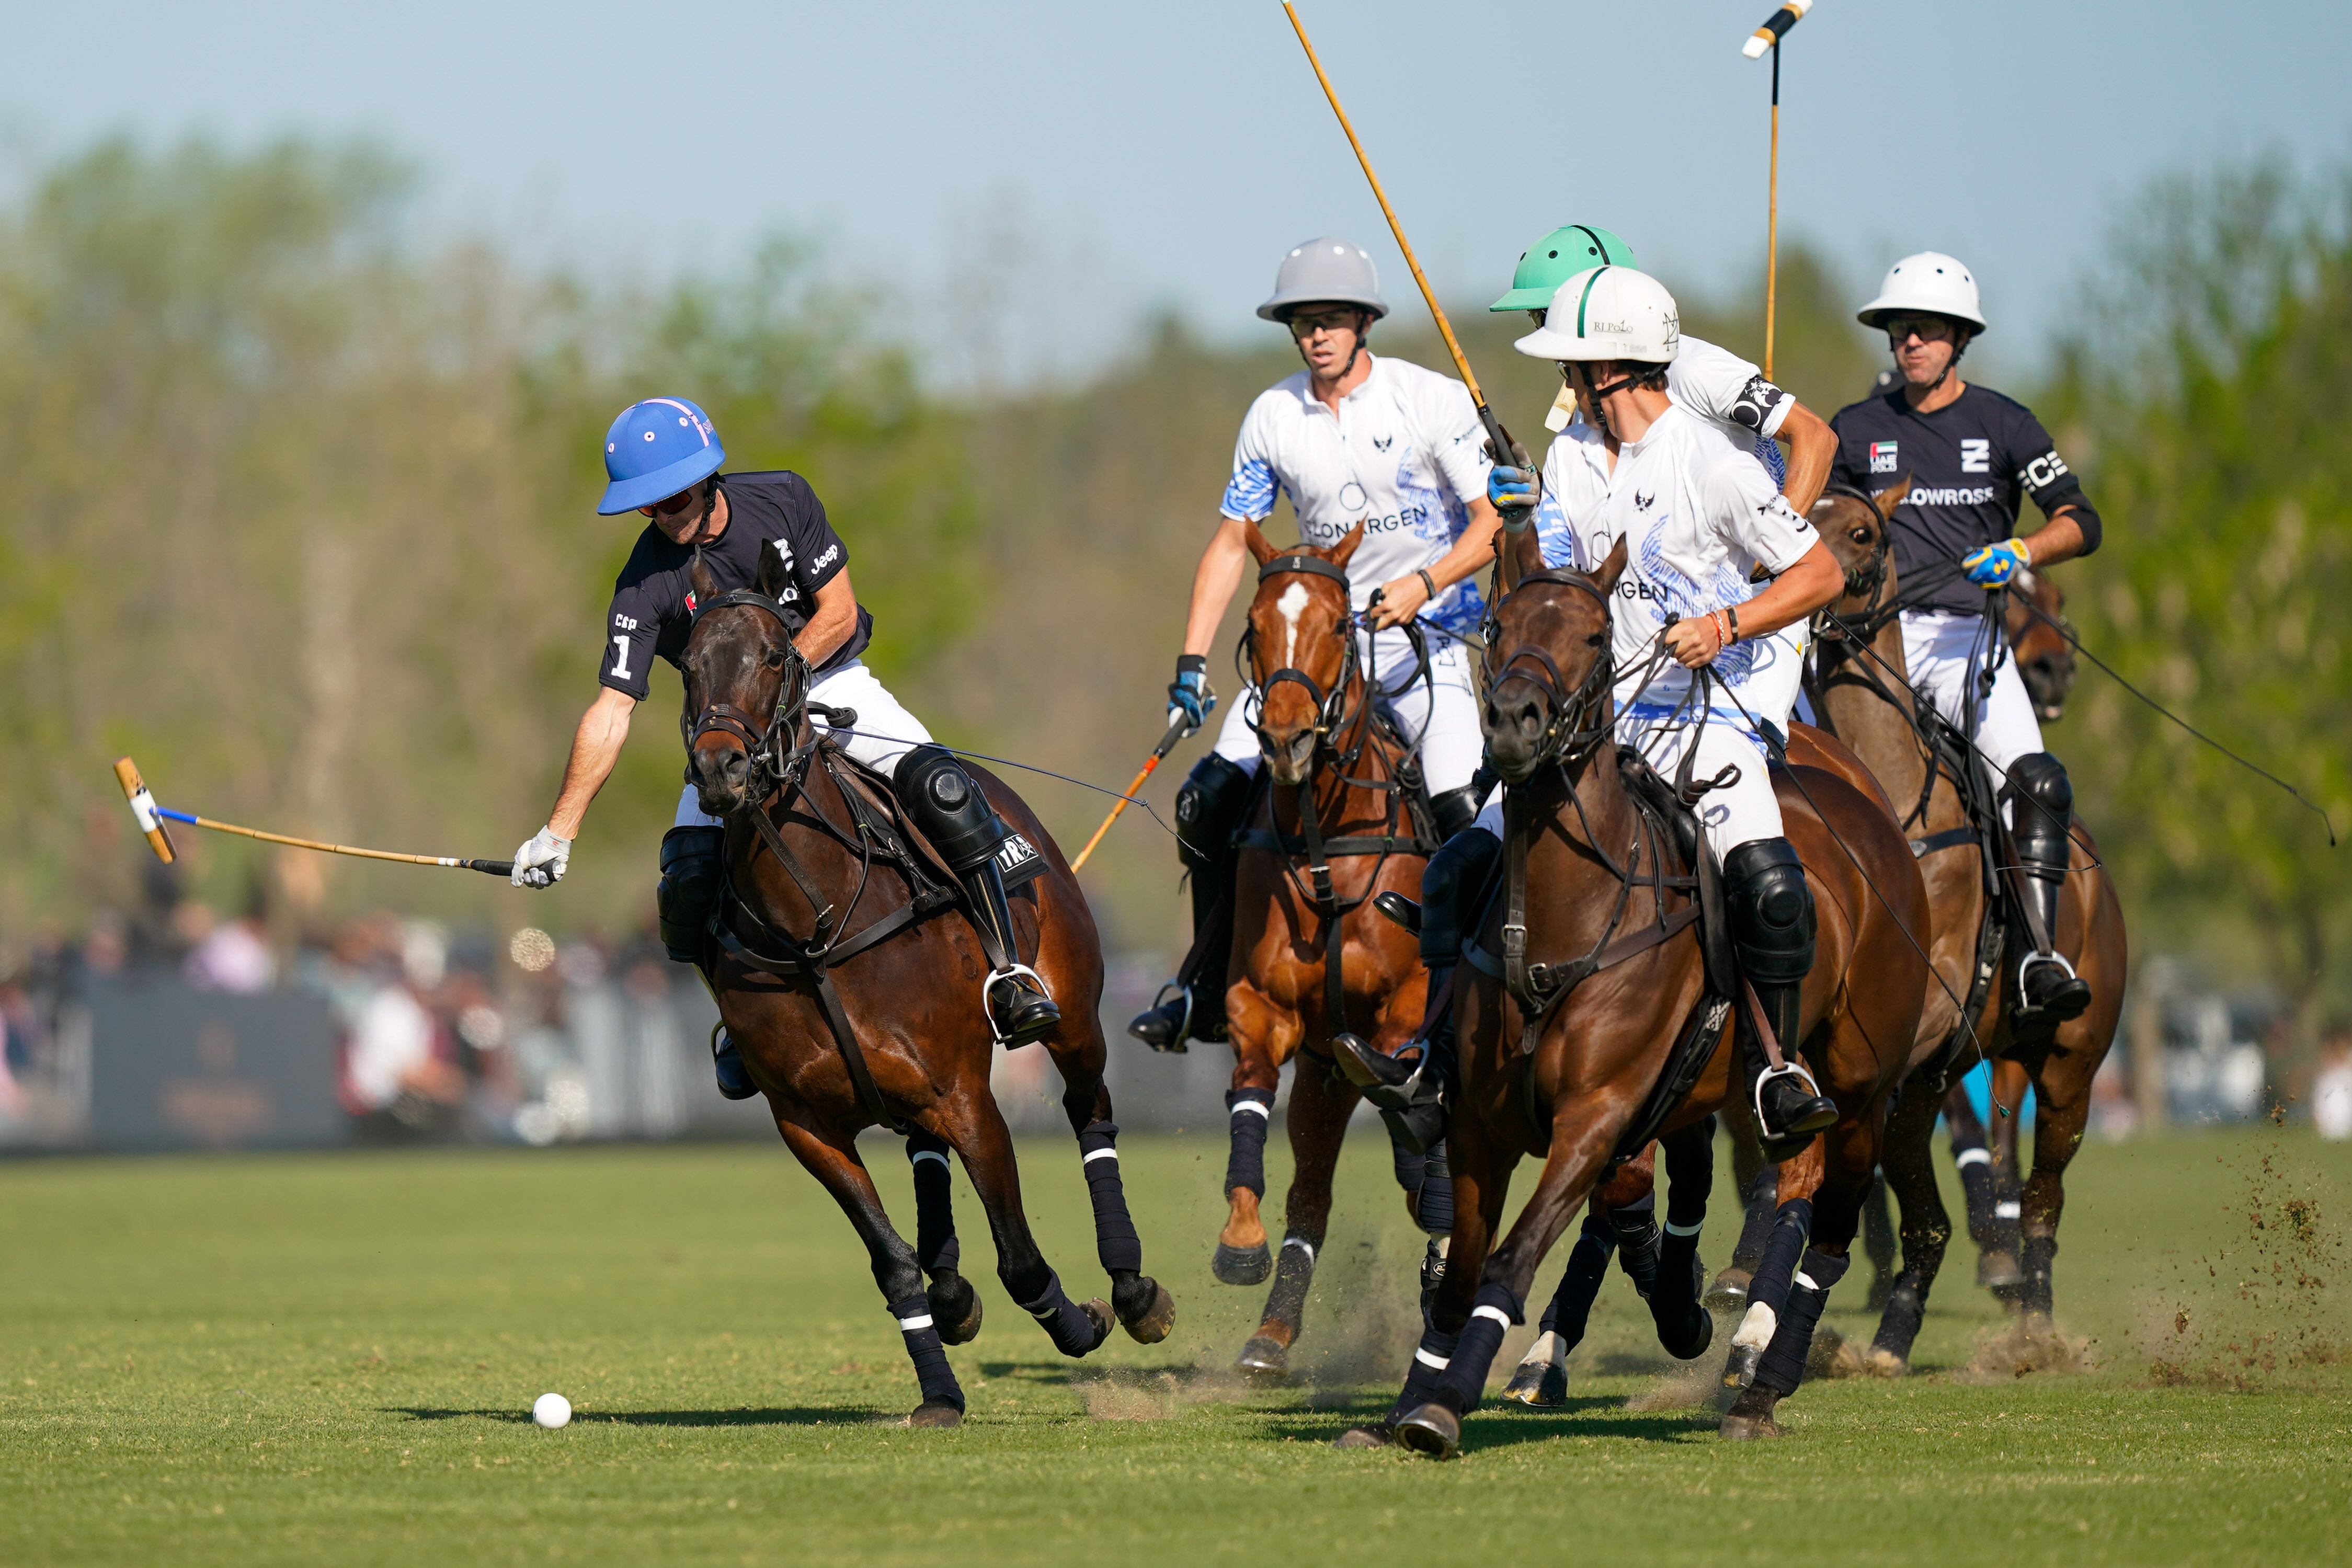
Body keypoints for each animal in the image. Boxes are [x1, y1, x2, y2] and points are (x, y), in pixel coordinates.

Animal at [682, 545, 1176, 1429]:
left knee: (1089, 1107)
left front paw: (1082, 1322)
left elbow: (1019, 1256)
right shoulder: (807, 1125)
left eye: (774, 656)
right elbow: (893, 1263)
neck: (815, 922)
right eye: (687, 665)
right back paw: (952, 1288)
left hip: (1072, 1014)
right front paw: (940, 1389)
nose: (719, 767)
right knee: (925, 1158)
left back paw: (1132, 1287)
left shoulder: (967, 1095)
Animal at [1213, 522, 1448, 1382]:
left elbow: (1411, 1099)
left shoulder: (1405, 1008)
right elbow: (1250, 1102)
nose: (1286, 739)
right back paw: (1271, 1332)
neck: (1325, 848)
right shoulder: (1263, 1007)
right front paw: (1239, 1242)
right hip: (1320, 1075)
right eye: (1253, 625)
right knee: (1312, 1190)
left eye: (1338, 625)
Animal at [1364, 527, 1928, 1457]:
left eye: (1595, 634)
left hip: (1857, 1089)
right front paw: (1404, 1402)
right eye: (1496, 621)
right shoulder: (1480, 1125)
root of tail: (1870, 816)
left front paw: (1444, 1407)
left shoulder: (1593, 1114)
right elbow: (1462, 1270)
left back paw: (1758, 1388)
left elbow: (1513, 1258)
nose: (1512, 723)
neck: (1559, 922)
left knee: (1828, 1224)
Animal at [1806, 484, 2126, 1363]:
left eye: (1861, 531)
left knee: (2044, 1191)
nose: (2050, 670)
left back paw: (2033, 1316)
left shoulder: (1931, 1021)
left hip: (2069, 1066)